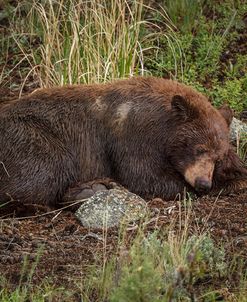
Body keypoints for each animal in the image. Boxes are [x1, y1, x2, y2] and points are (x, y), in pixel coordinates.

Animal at [0, 76, 246, 206]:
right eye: (199, 148)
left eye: (217, 157)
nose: (203, 183)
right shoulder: (133, 135)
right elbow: (143, 175)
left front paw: (233, 174)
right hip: (33, 138)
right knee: (44, 173)